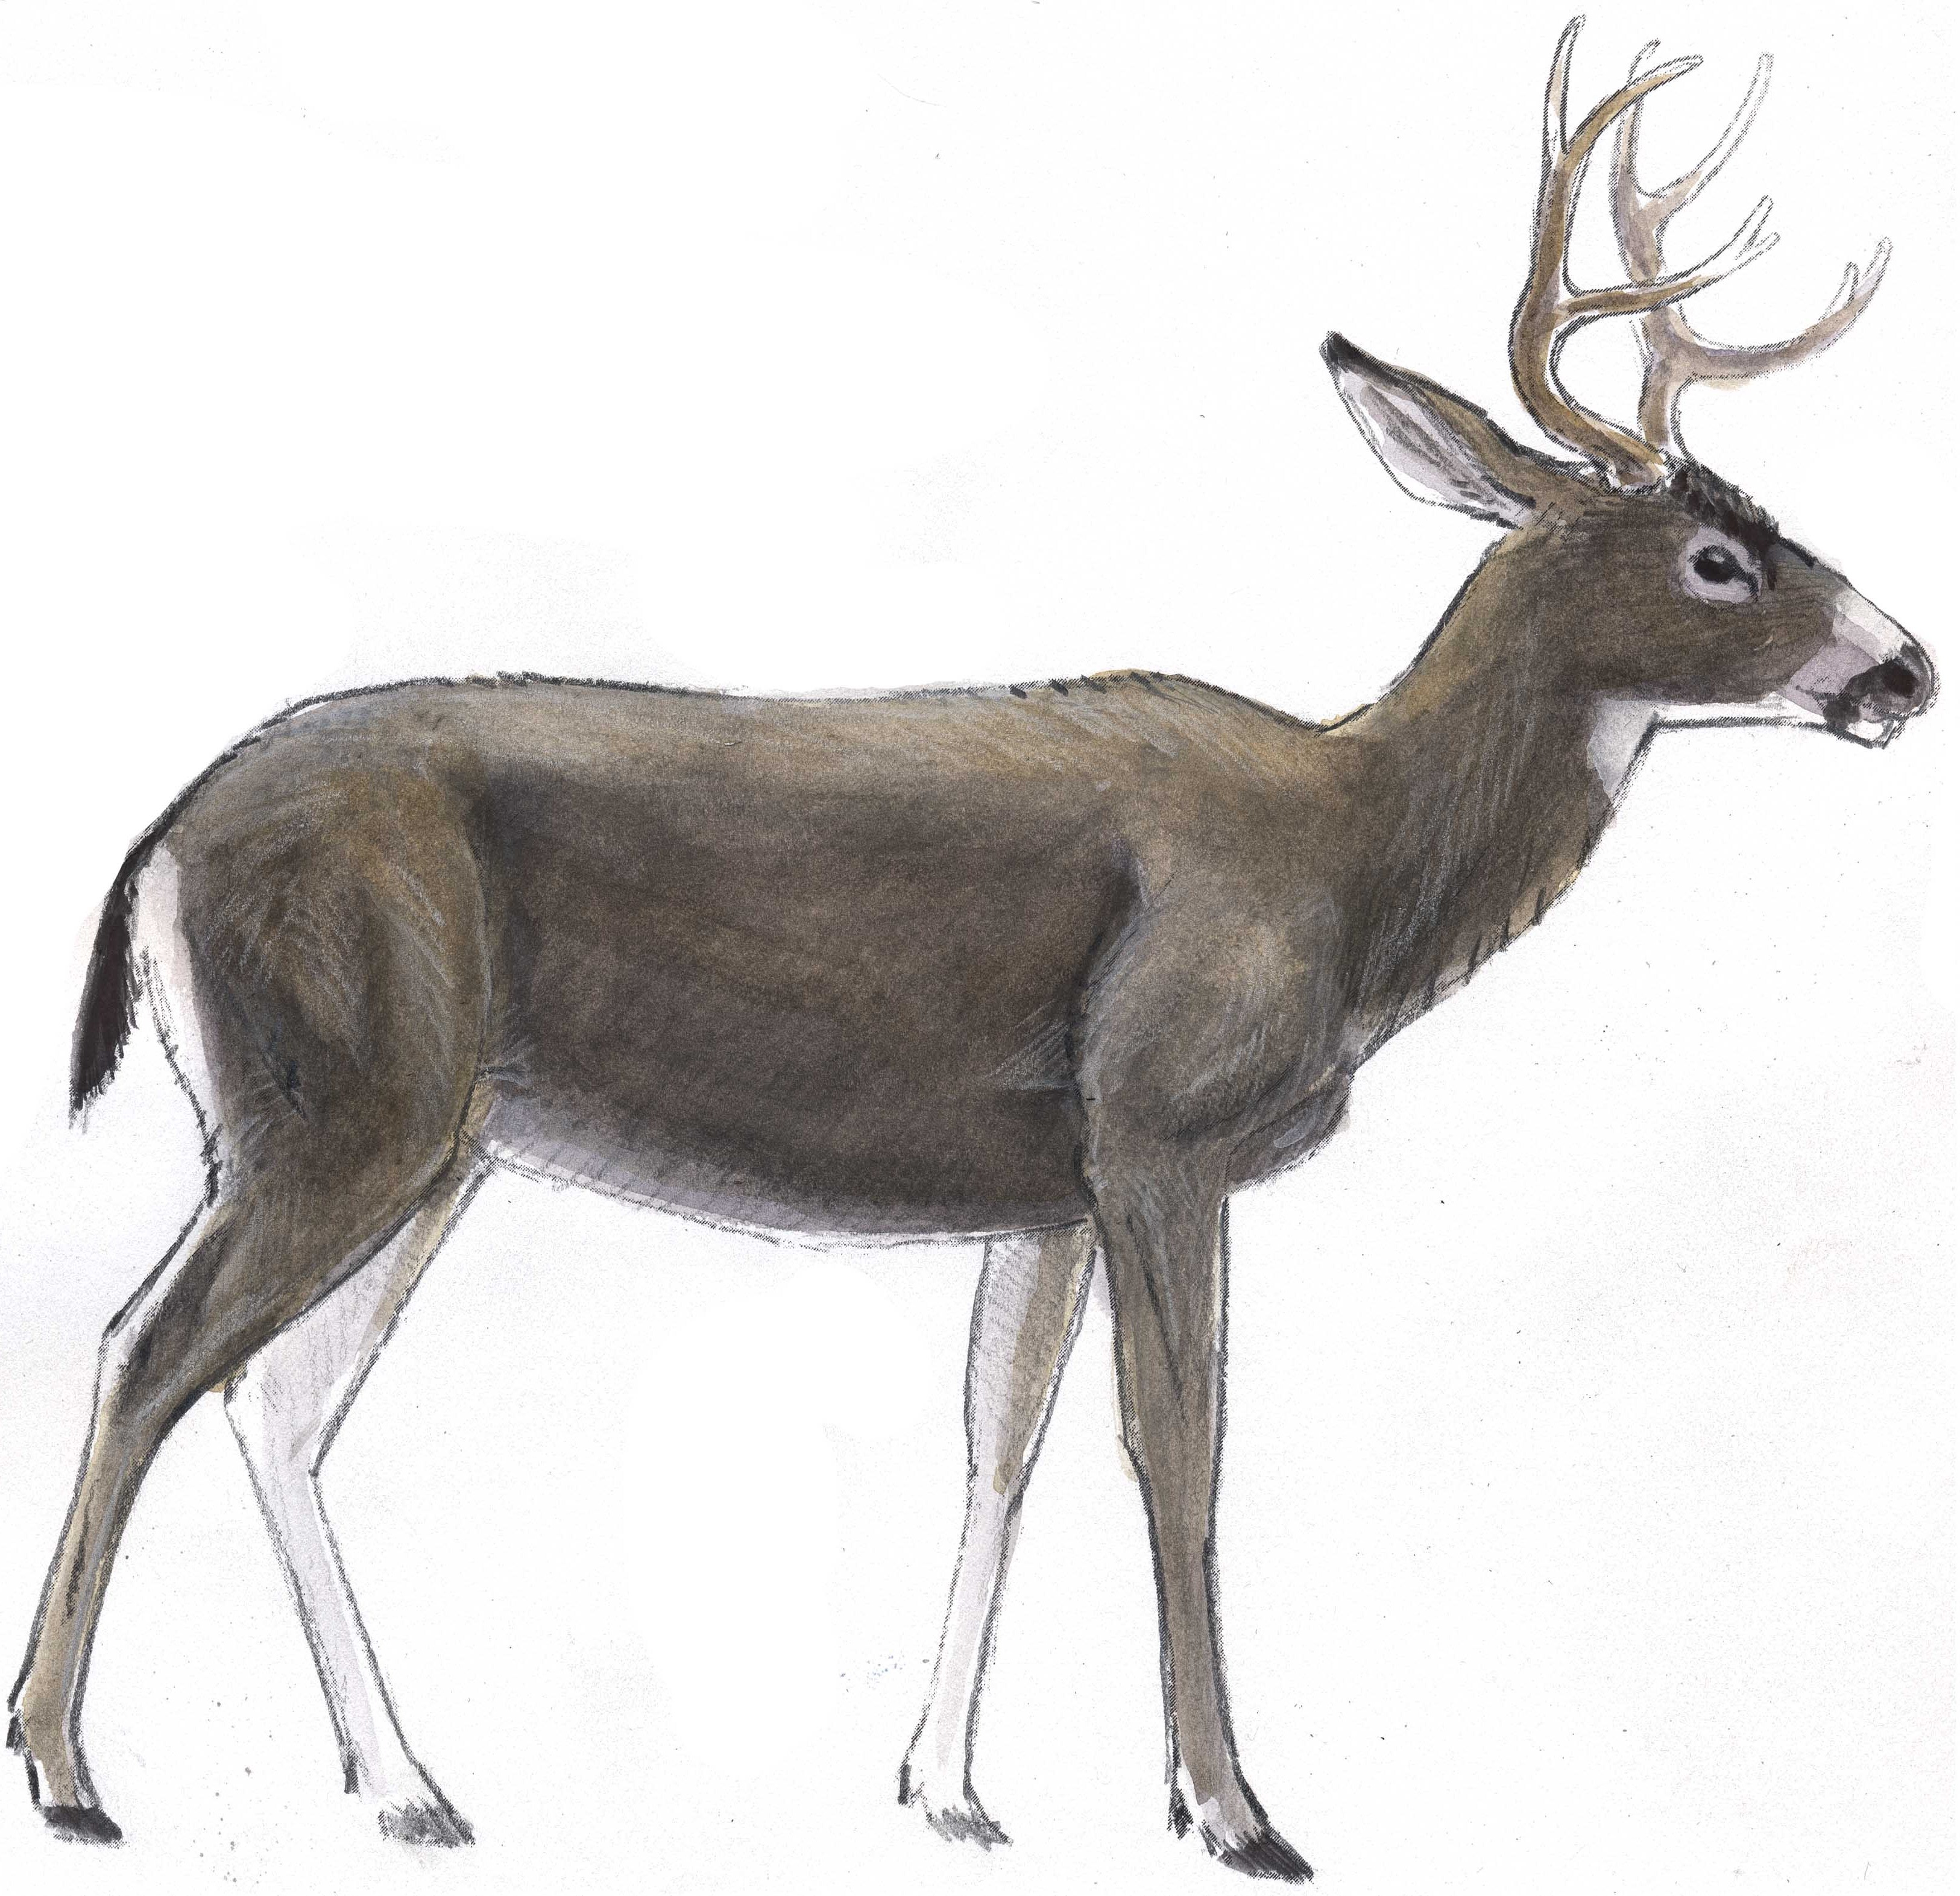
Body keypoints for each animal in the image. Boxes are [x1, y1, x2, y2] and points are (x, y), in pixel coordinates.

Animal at [7, 19, 1933, 1881]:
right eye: (1718, 557)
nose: (1905, 669)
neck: (1350, 857)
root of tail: (159, 840)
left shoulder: (1045, 1185)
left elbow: (996, 1446)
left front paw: (944, 1788)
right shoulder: (1158, 1122)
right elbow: (1176, 1454)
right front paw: (1232, 1811)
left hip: (427, 1139)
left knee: (277, 1401)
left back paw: (406, 1788)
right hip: (342, 1097)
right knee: (144, 1353)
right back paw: (73, 1775)